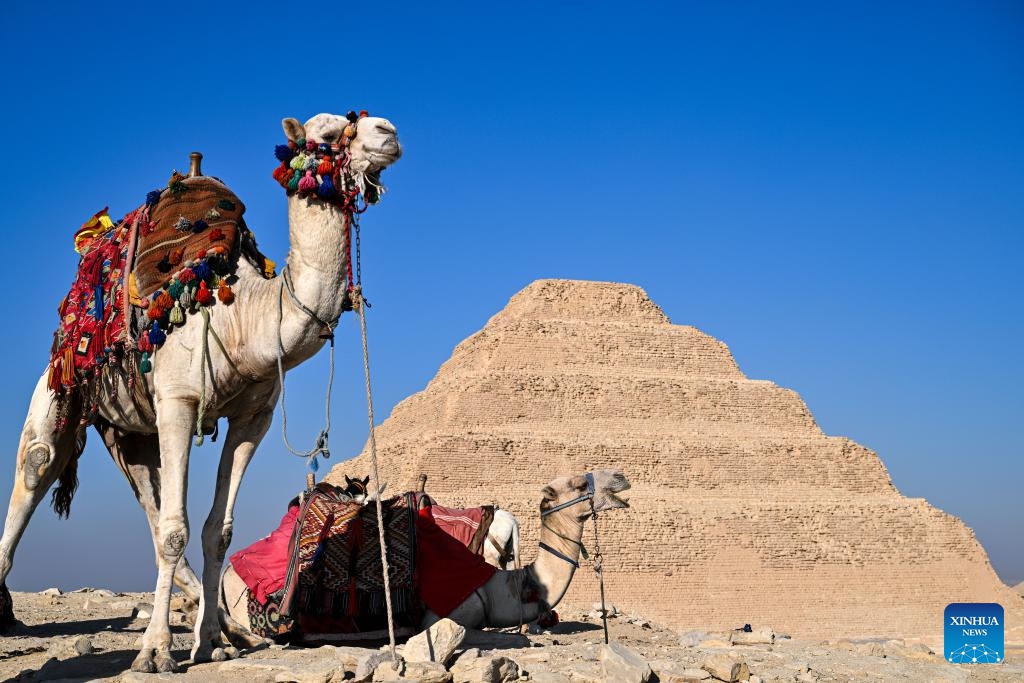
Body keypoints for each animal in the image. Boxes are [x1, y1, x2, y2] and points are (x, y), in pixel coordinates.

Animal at [0, 112, 402, 673]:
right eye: (325, 135)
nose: (388, 132)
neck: (244, 316)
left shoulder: (254, 416)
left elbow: (217, 531)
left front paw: (211, 639)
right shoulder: (178, 401)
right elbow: (177, 529)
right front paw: (154, 652)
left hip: (126, 433)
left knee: (146, 501)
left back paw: (230, 628)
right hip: (62, 388)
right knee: (37, 466)